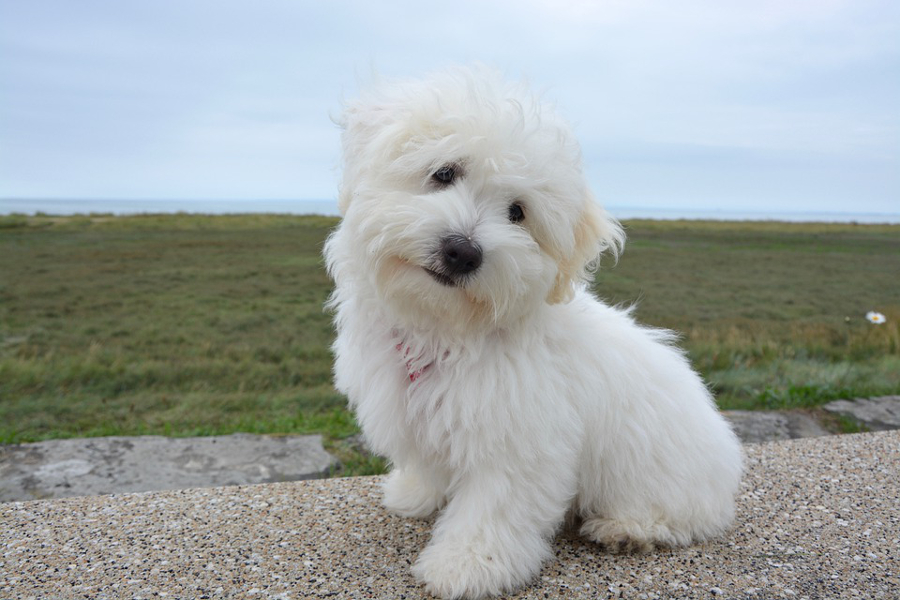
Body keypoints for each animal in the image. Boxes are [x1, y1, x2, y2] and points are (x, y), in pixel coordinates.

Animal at [326, 67, 740, 600]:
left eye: (517, 212)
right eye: (444, 173)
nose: (462, 251)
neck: (446, 330)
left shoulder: (518, 441)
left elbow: (492, 509)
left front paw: (466, 566)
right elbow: (430, 464)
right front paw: (415, 493)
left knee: (682, 516)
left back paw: (628, 528)